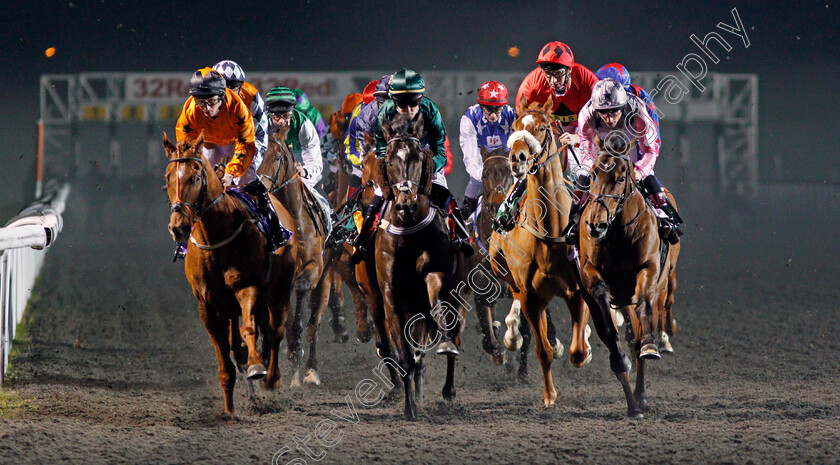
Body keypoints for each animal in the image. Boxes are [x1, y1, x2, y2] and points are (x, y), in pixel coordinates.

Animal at [163, 131, 296, 414]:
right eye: (168, 177)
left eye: (196, 177)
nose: (179, 227)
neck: (216, 236)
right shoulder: (206, 304)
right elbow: (223, 350)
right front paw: (229, 409)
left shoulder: (247, 286)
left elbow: (250, 330)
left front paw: (257, 368)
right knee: (238, 345)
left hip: (279, 291)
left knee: (276, 331)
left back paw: (270, 378)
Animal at [258, 127, 334, 388]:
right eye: (259, 153)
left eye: (278, 157)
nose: (258, 187)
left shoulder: (313, 269)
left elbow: (301, 309)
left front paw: (296, 349)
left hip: (325, 280)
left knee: (314, 326)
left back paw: (309, 370)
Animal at [486, 95, 604, 406]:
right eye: (515, 126)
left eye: (541, 127)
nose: (517, 158)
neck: (551, 229)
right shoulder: (531, 296)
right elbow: (543, 350)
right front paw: (549, 395)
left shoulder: (577, 291)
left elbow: (577, 351)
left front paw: (585, 347)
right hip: (499, 265)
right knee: (514, 297)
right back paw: (512, 332)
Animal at [576, 139, 684, 416]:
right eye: (593, 174)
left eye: (621, 177)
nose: (596, 224)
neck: (617, 234)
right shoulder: (589, 271)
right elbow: (605, 316)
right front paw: (618, 358)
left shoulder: (648, 271)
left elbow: (644, 311)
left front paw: (649, 346)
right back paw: (633, 402)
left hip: (661, 284)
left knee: (643, 326)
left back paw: (640, 396)